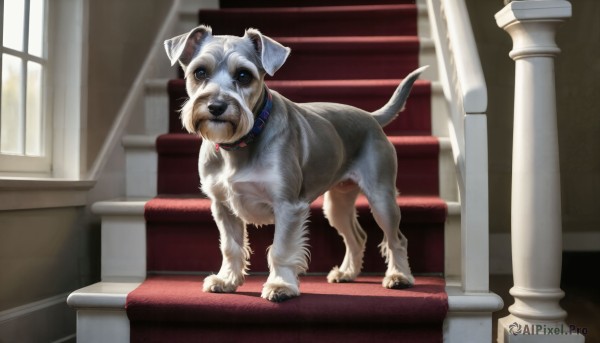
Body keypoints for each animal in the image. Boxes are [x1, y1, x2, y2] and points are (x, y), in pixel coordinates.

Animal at [164, 25, 426, 302]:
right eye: (200, 72)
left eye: (244, 75)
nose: (216, 106)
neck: (240, 144)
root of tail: (371, 117)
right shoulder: (223, 206)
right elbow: (230, 247)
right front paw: (226, 280)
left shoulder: (288, 206)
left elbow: (280, 249)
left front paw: (281, 285)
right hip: (337, 204)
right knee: (357, 237)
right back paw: (347, 272)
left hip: (381, 199)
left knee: (396, 239)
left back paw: (399, 276)